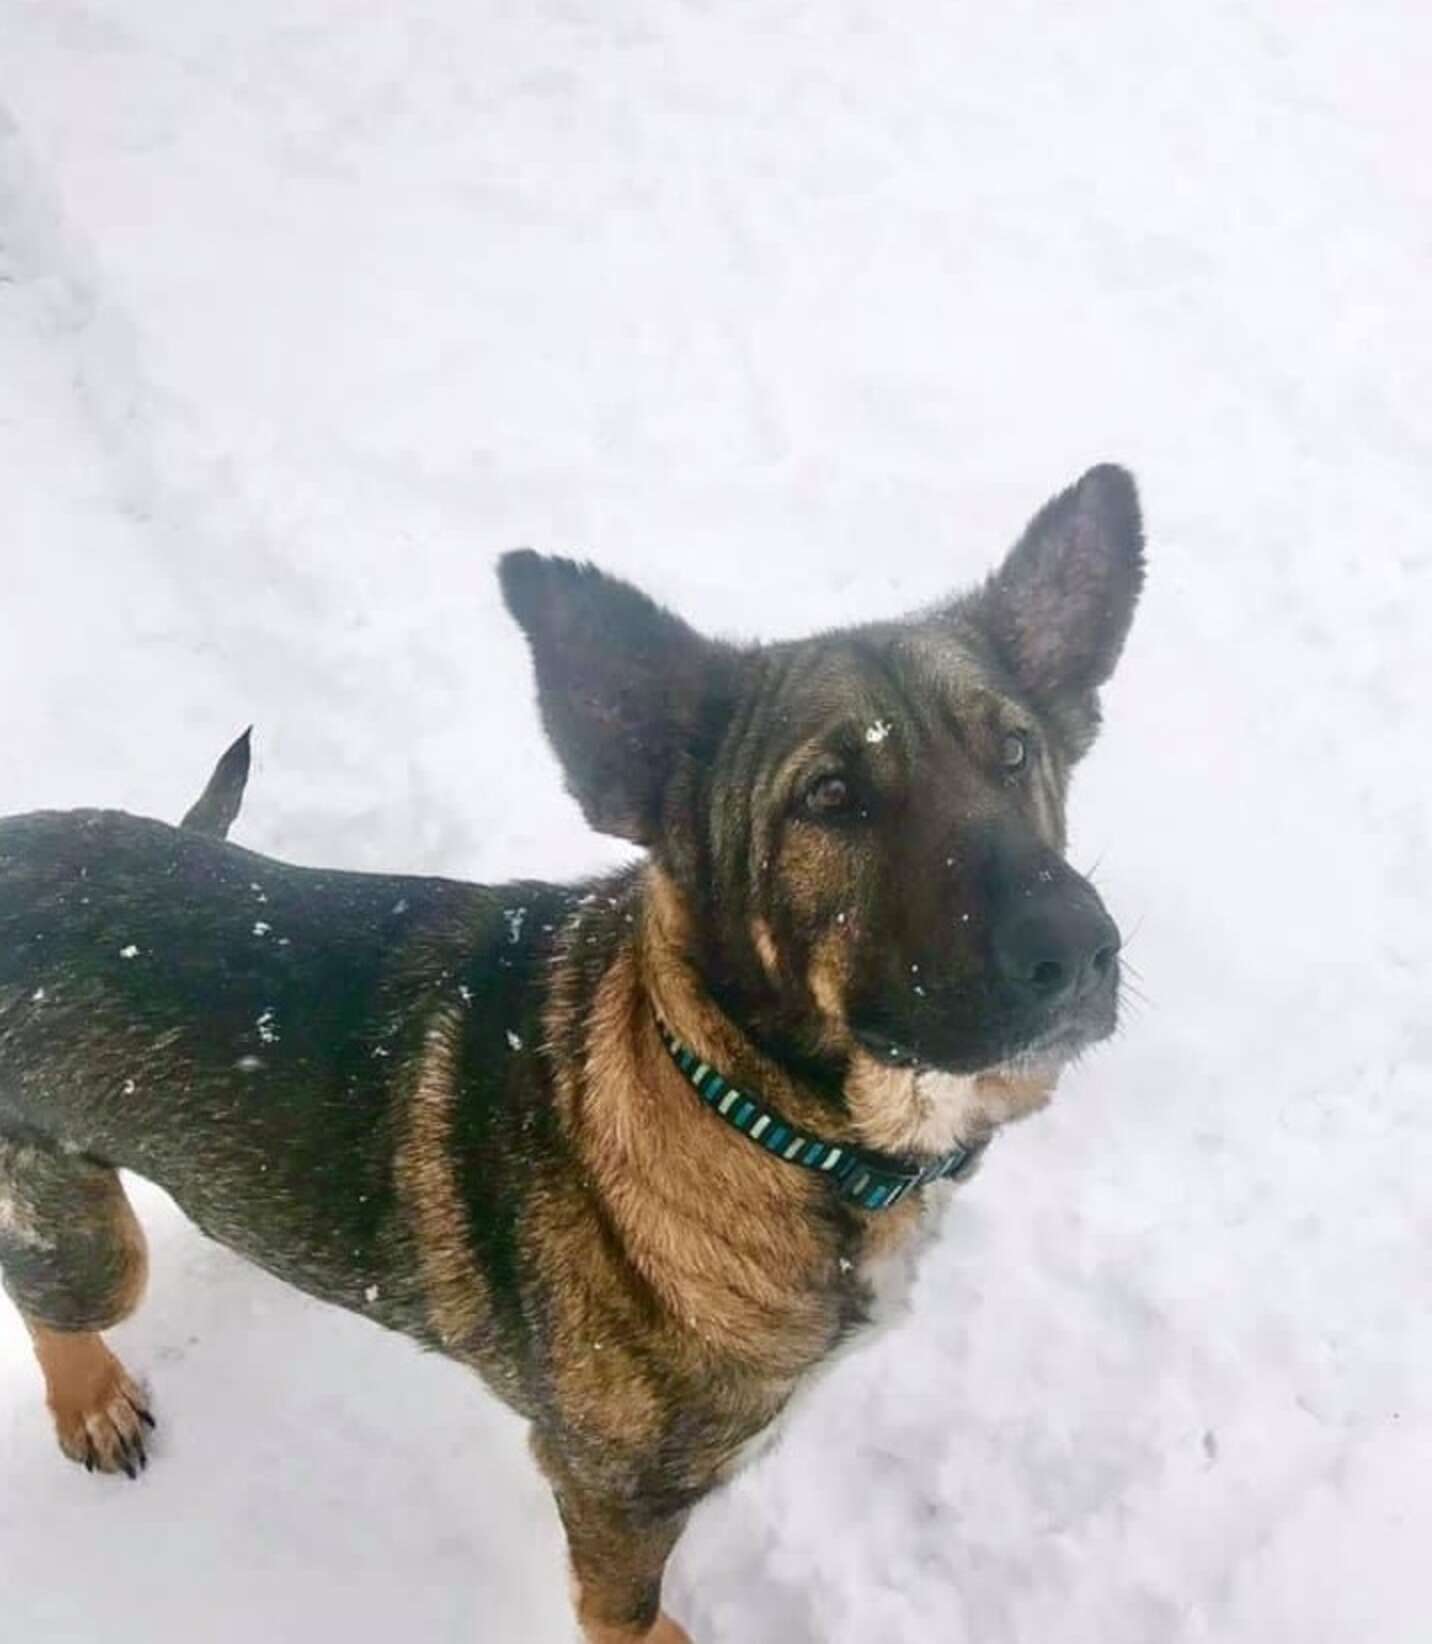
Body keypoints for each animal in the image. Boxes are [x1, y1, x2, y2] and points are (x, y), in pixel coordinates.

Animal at [0, 466, 1144, 1644]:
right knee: (47, 1292)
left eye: (1013, 750)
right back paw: (90, 1399)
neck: (746, 1107)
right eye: (828, 798)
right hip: (94, 1250)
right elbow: (626, 1613)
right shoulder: (616, 1494)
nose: (1079, 948)